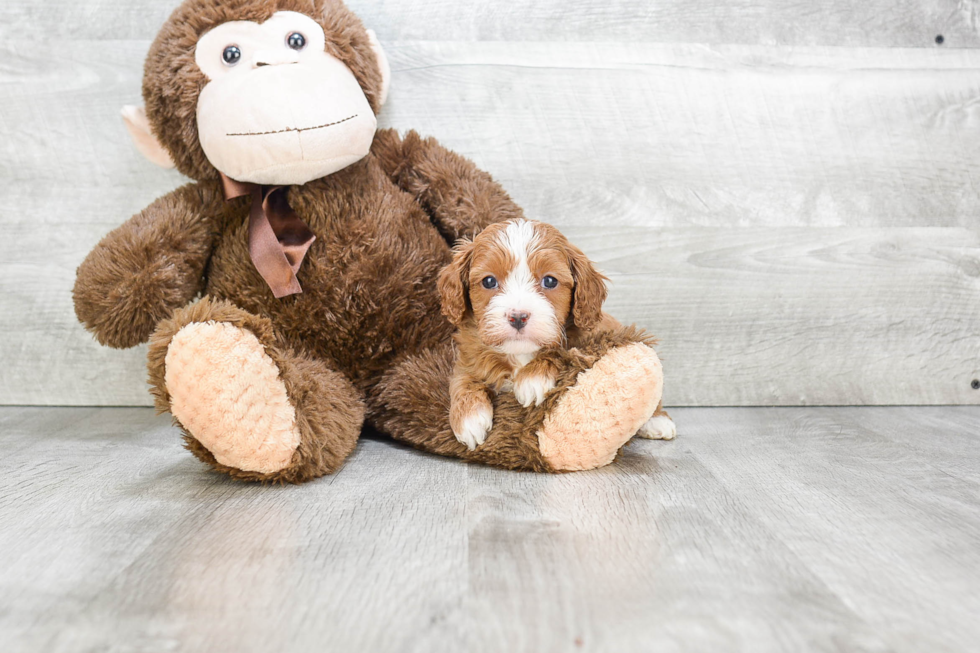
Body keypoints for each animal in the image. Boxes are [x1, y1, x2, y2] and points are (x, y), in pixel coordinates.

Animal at [438, 219, 672, 448]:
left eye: (549, 281)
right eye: (489, 281)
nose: (518, 317)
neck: (521, 354)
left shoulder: (590, 341)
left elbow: (560, 353)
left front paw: (532, 378)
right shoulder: (469, 357)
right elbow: (462, 380)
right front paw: (468, 419)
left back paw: (658, 422)